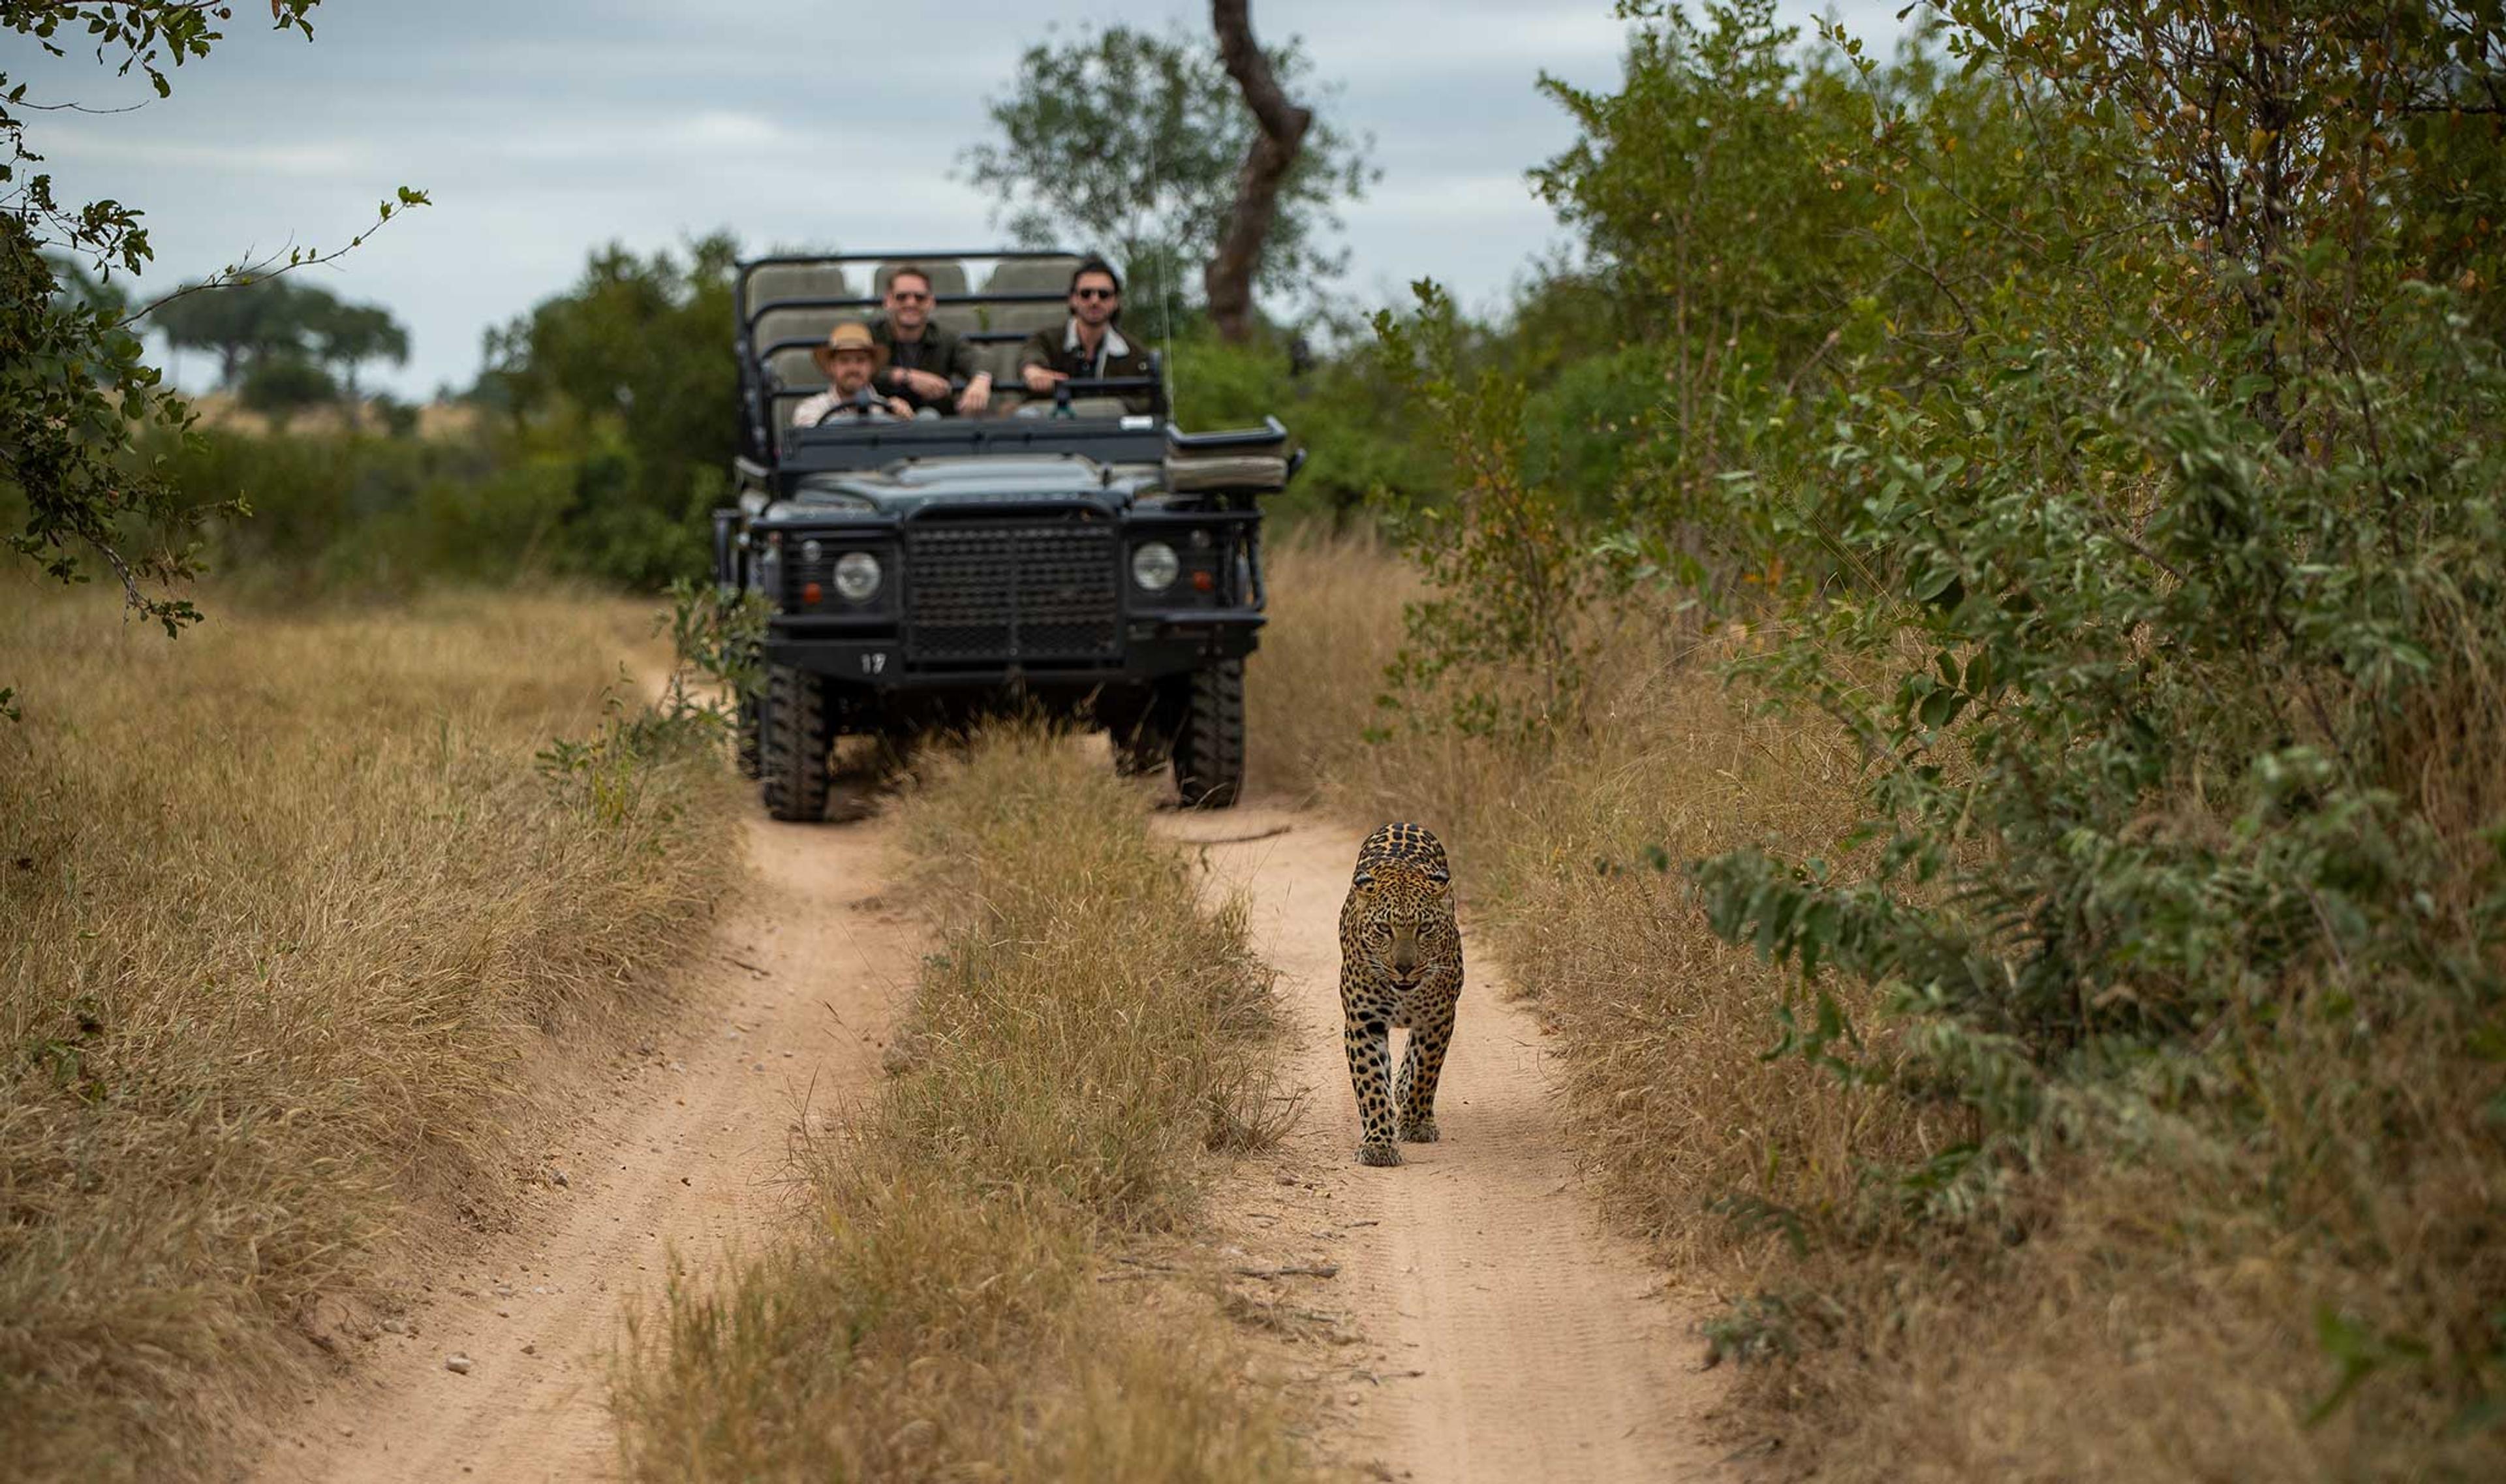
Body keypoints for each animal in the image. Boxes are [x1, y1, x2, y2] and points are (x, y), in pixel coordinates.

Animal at [1338, 822, 1465, 1167]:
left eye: (1425, 928)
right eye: (1384, 929)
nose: (1404, 967)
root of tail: (1404, 823)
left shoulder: (1437, 1018)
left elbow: (1426, 1070)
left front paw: (1417, 1123)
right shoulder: (1363, 1023)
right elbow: (1370, 1084)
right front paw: (1379, 1145)